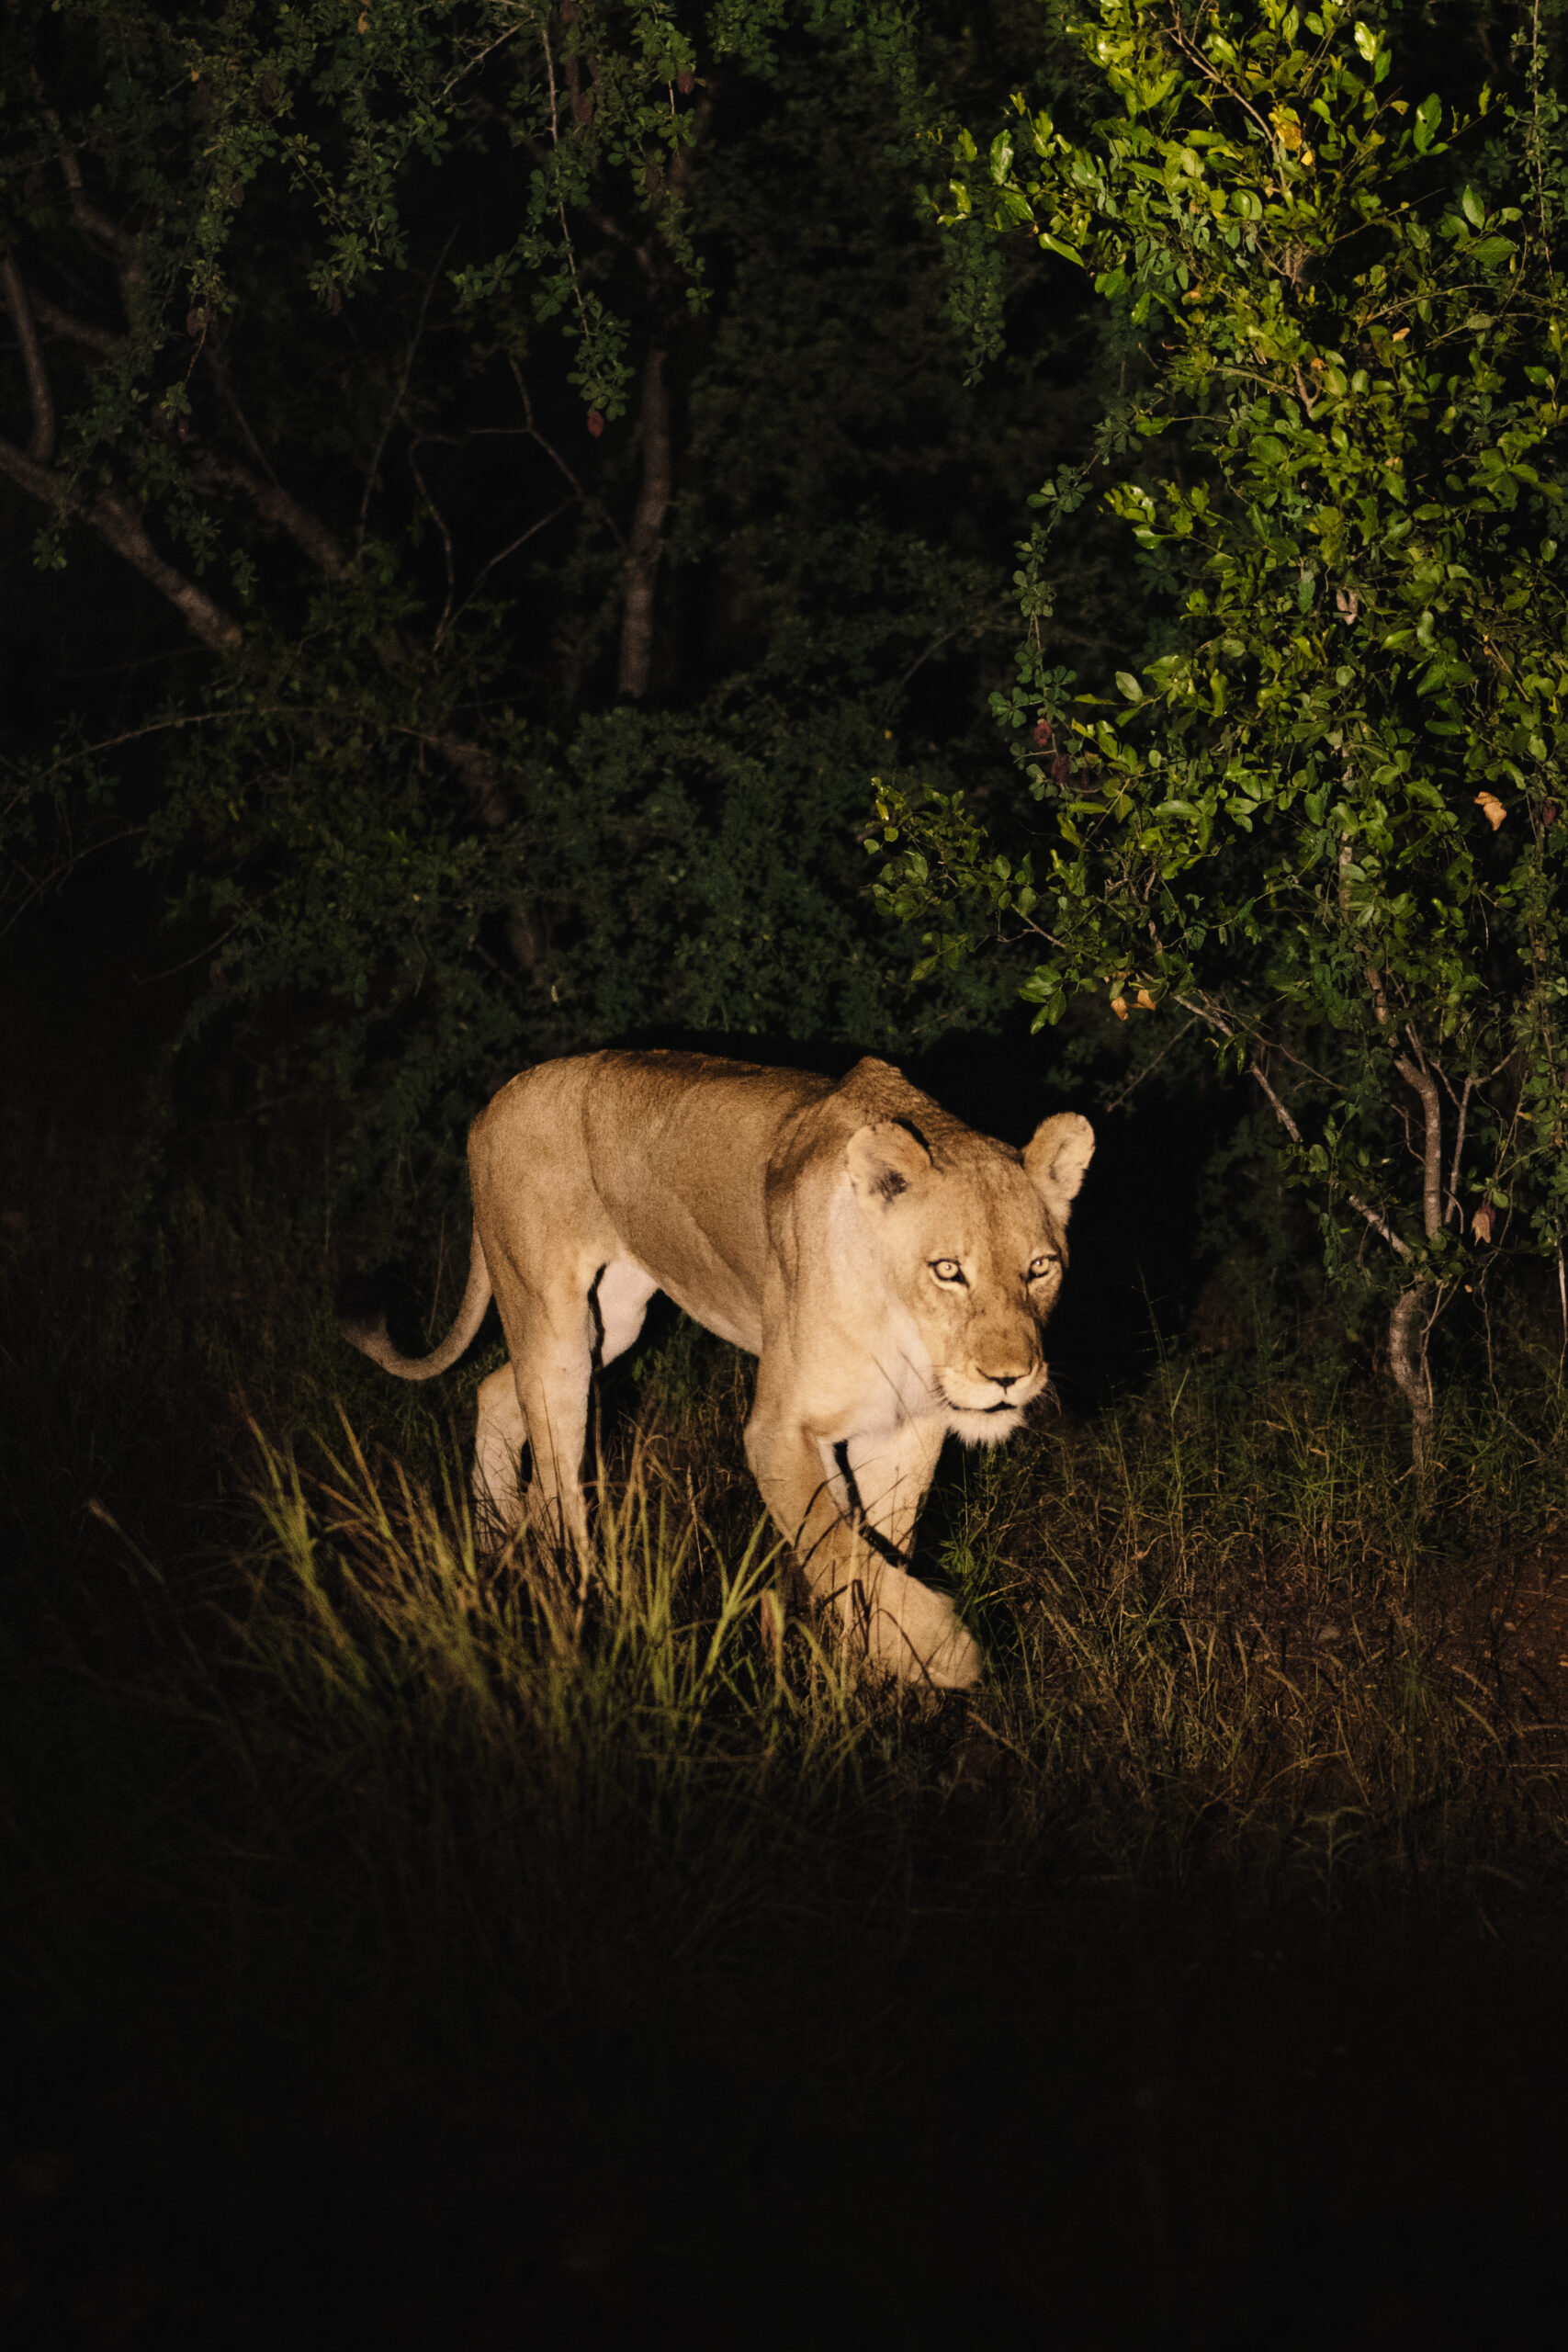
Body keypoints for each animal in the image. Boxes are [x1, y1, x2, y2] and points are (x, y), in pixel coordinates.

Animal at [343, 1050, 1093, 1690]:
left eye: (1040, 1268)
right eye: (947, 1271)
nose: (1009, 1377)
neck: (903, 1328)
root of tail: (494, 1102)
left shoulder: (905, 1432)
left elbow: (879, 1547)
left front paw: (878, 1674)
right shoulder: (778, 1431)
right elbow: (837, 1545)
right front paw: (945, 1650)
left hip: (613, 1318)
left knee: (496, 1390)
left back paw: (491, 1541)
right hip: (551, 1320)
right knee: (555, 1478)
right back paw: (576, 1597)